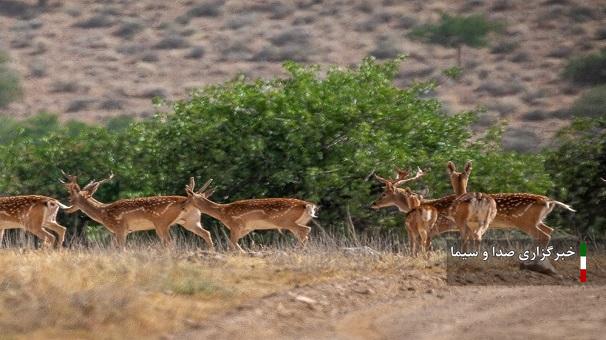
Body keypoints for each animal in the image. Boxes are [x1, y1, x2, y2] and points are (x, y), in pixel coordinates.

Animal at [61, 173, 214, 247]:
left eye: (70, 198)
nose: (66, 209)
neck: (103, 213)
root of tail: (188, 201)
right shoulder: (123, 231)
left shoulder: (119, 228)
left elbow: (120, 249)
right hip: (190, 221)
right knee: (206, 233)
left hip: (161, 222)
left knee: (169, 242)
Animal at [184, 178, 318, 252]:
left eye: (188, 199)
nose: (183, 207)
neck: (222, 212)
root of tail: (308, 205)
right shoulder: (246, 229)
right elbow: (234, 244)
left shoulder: (235, 225)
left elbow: (231, 244)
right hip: (295, 222)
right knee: (304, 233)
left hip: (285, 221)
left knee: (306, 230)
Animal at [448, 161, 576, 246]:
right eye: (453, 176)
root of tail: (548, 201)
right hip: (537, 220)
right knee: (549, 230)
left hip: (524, 220)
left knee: (543, 235)